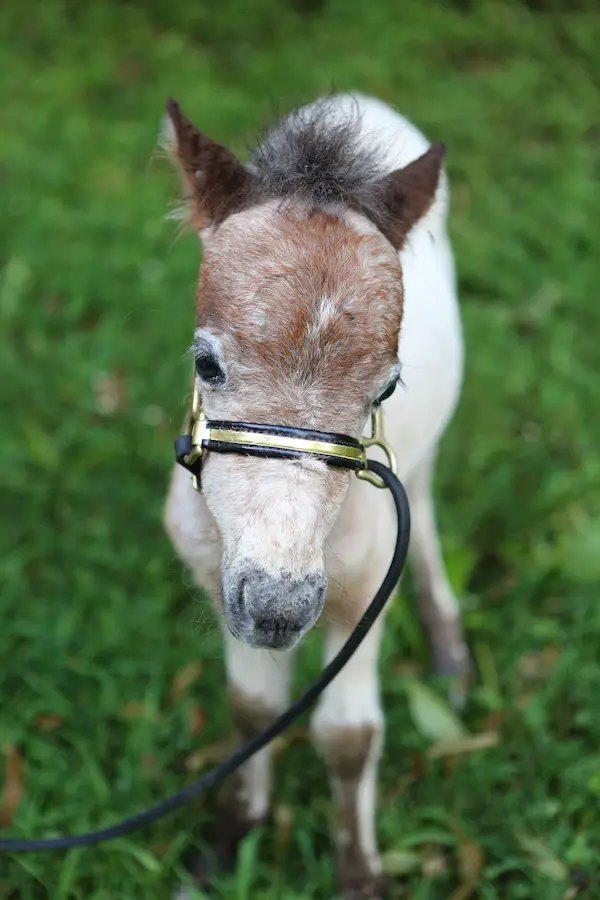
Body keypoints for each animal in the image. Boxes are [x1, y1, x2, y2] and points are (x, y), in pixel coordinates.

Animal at [163, 95, 468, 896]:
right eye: (206, 362)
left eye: (385, 388)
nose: (280, 606)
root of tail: (359, 101)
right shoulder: (220, 585)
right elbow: (252, 710)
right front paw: (225, 844)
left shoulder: (366, 595)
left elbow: (349, 738)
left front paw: (359, 874)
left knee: (426, 507)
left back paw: (451, 653)